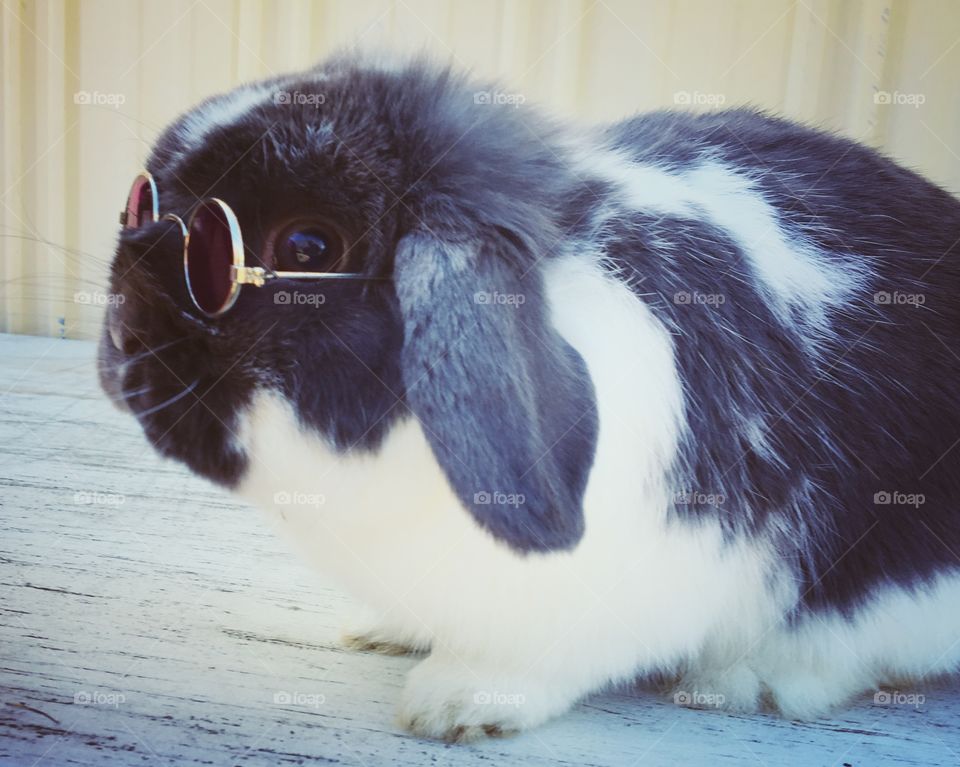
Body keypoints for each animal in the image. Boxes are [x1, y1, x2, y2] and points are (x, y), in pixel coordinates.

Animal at [98, 52, 960, 741]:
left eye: (307, 248)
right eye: (141, 200)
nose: (120, 347)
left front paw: (453, 703)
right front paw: (383, 630)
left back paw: (751, 678)